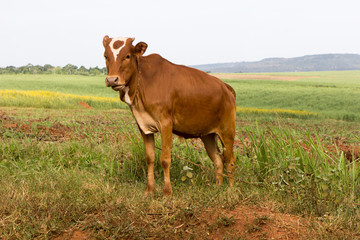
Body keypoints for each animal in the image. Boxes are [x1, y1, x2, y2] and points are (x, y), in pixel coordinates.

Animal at [102, 36, 236, 197]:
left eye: (127, 56)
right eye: (106, 56)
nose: (112, 80)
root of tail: (226, 87)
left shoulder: (166, 124)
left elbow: (165, 159)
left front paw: (167, 192)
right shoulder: (143, 126)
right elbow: (150, 158)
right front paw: (149, 191)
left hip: (227, 131)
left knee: (230, 159)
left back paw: (230, 190)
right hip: (208, 134)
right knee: (218, 159)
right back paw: (218, 188)